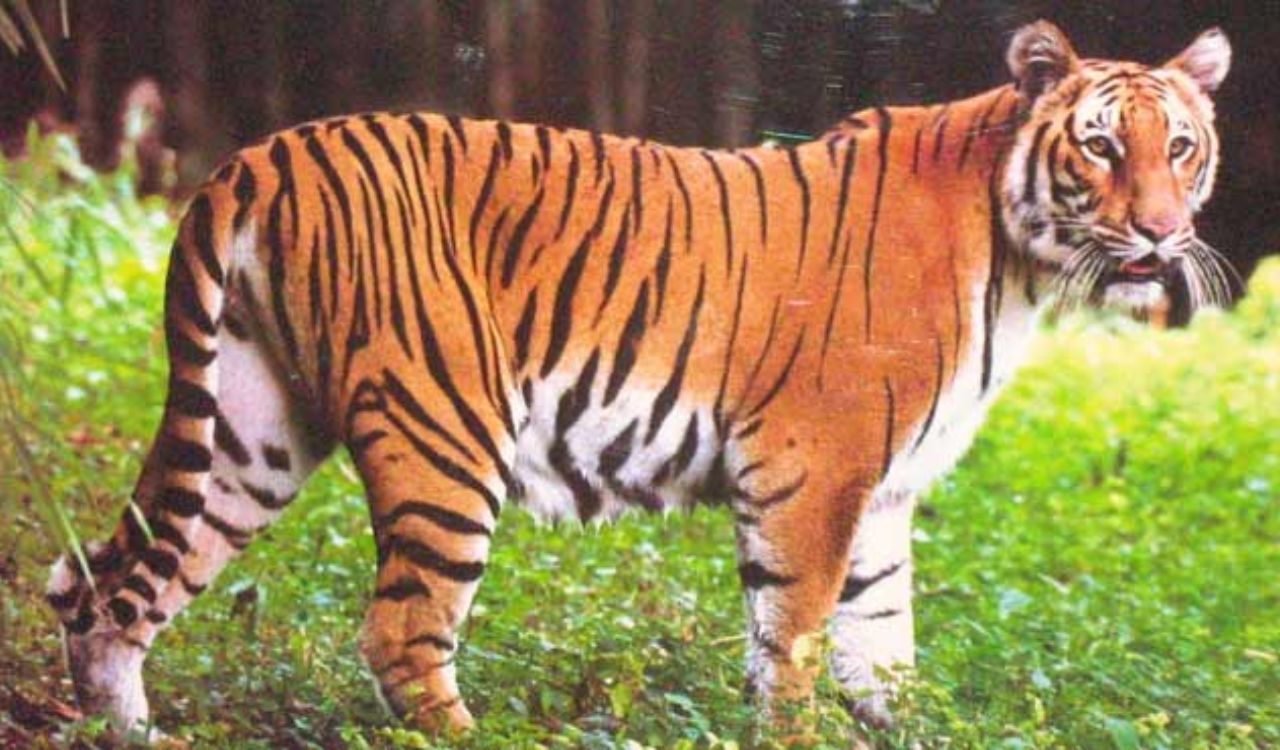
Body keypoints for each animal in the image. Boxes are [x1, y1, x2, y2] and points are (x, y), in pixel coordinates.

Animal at [46, 20, 1233, 741]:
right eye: (1098, 147)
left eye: (1179, 147)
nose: (1159, 234)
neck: (1020, 265)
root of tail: (253, 160)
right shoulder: (813, 471)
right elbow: (792, 645)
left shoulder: (886, 492)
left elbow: (882, 651)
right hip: (443, 432)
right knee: (400, 633)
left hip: (249, 432)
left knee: (112, 589)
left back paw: (135, 729)